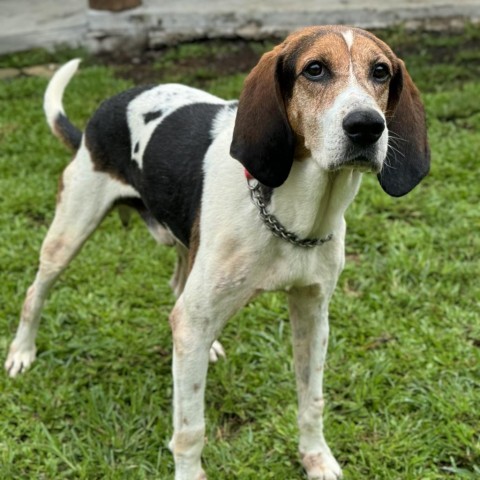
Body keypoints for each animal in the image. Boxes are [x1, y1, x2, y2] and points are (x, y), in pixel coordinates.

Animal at [5, 27, 430, 480]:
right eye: (314, 69)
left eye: (381, 71)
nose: (367, 126)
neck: (291, 215)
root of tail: (104, 110)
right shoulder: (196, 320)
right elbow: (190, 428)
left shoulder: (313, 313)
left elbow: (311, 400)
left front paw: (316, 458)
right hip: (69, 233)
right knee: (35, 292)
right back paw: (21, 353)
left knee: (177, 286)